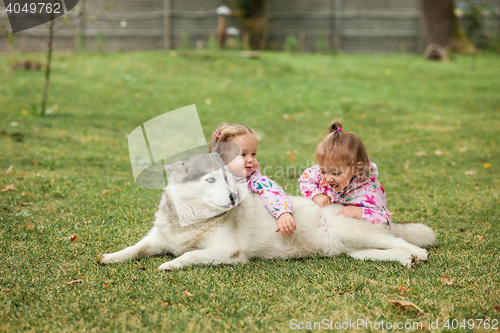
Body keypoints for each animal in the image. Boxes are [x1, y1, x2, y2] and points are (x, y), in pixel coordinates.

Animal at [99, 153, 436, 270]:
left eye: (229, 179)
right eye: (211, 179)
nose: (234, 196)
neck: (192, 222)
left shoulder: (228, 252)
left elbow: (191, 255)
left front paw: (171, 264)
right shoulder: (157, 239)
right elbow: (135, 248)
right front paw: (112, 257)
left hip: (353, 229)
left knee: (402, 242)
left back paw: (417, 253)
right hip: (353, 249)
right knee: (384, 251)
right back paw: (405, 259)